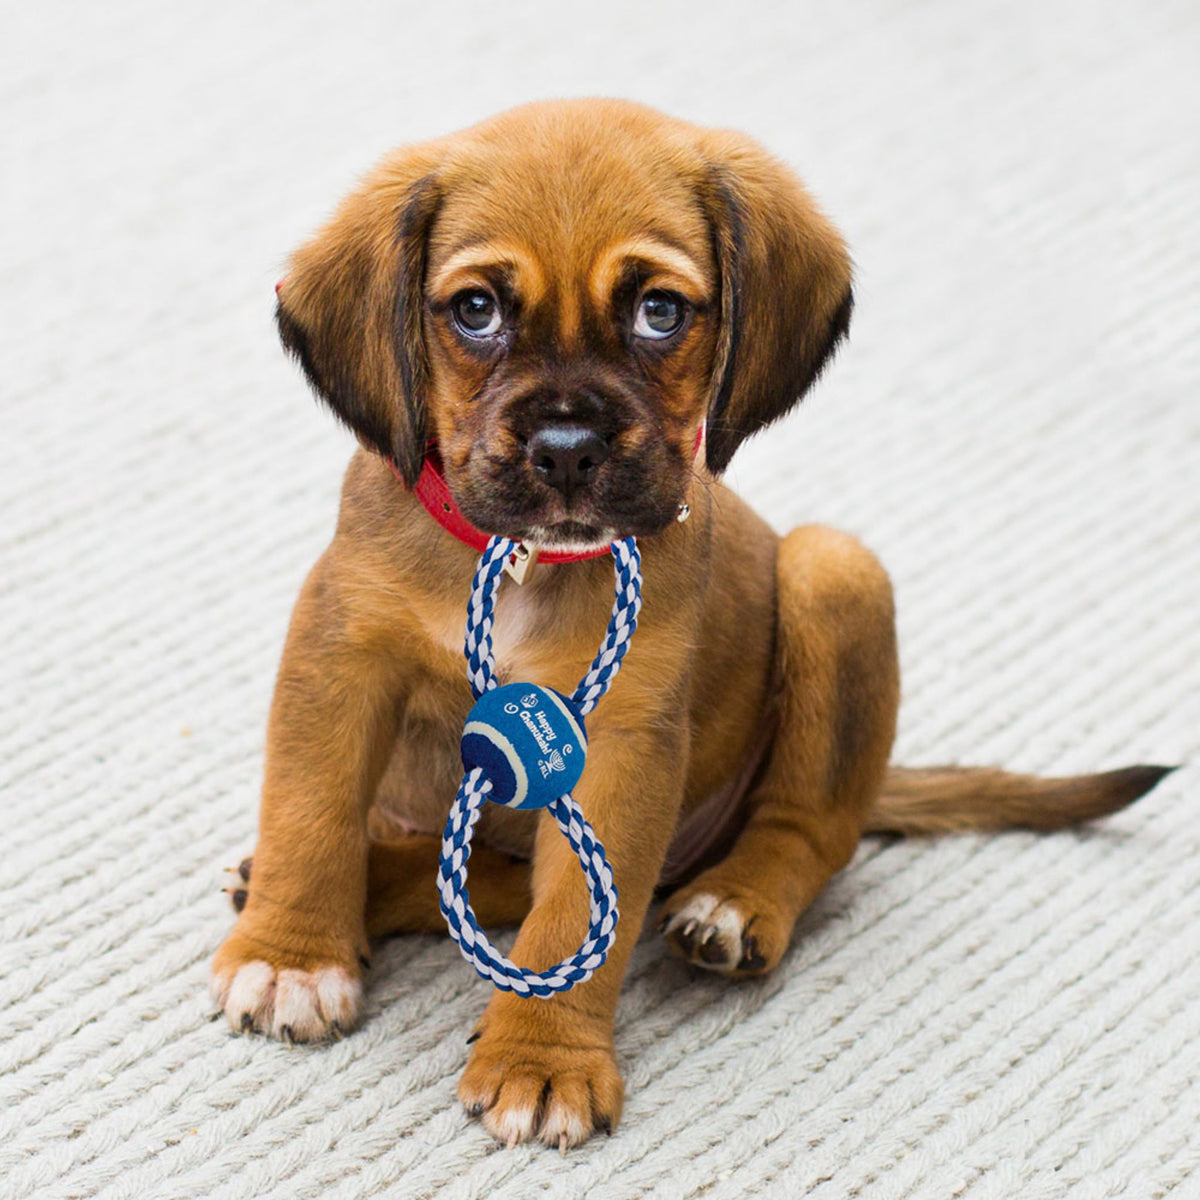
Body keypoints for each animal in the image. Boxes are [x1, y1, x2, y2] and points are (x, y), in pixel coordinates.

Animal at [208, 98, 1171, 1147]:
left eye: (659, 312)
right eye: (476, 311)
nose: (567, 449)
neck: (528, 563)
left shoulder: (621, 737)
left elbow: (575, 919)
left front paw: (542, 1060)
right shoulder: (339, 658)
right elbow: (310, 812)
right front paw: (293, 954)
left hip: (836, 570)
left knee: (808, 831)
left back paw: (737, 905)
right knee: (479, 876)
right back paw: (358, 885)